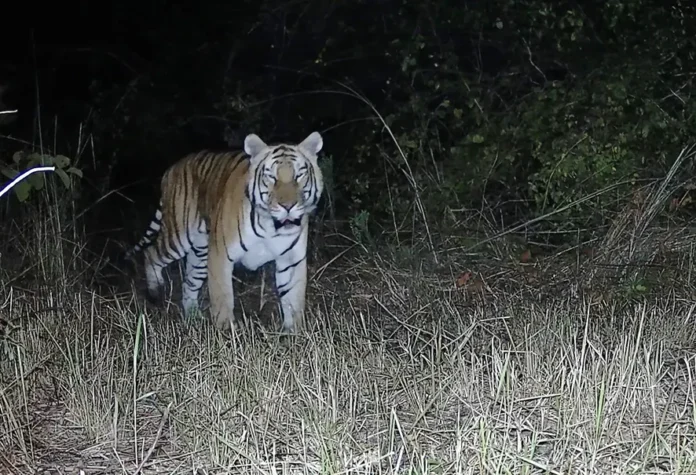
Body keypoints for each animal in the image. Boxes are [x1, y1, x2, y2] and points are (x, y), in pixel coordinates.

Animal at [126, 131, 324, 333]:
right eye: (271, 176)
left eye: (299, 175)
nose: (288, 206)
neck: (271, 225)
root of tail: (172, 168)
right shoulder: (220, 255)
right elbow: (222, 297)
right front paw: (226, 333)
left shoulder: (291, 260)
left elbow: (293, 300)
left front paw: (295, 334)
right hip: (179, 236)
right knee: (151, 253)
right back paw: (155, 291)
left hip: (200, 252)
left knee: (189, 283)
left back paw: (193, 318)